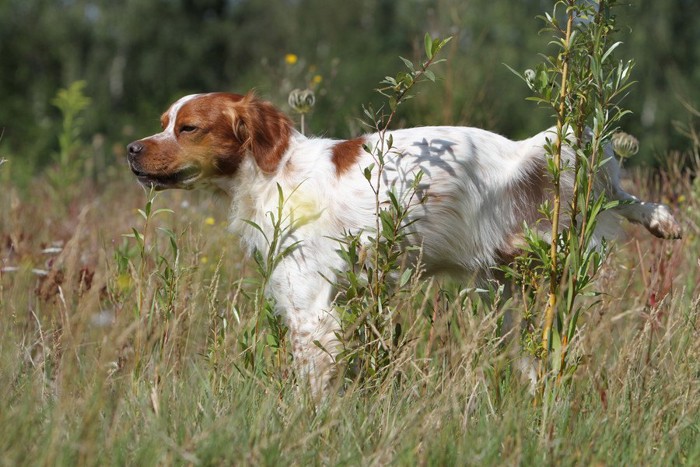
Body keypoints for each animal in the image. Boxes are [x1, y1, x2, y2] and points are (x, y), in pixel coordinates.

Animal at [129, 92, 680, 398]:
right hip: (511, 279)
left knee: (610, 192)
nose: (132, 150)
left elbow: (311, 386)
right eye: (163, 123)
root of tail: (515, 150)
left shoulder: (312, 310)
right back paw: (661, 219)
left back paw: (659, 218)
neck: (273, 172)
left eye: (188, 128)